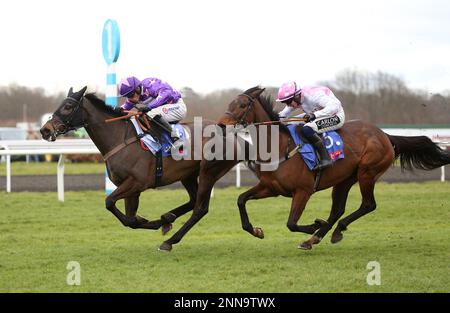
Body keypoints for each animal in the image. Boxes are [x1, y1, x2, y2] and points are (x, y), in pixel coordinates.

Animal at [40, 86, 213, 238]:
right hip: (188, 175)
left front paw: (156, 221)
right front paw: (157, 221)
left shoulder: (137, 183)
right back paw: (168, 217)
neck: (120, 139)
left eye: (68, 107)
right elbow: (130, 220)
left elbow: (109, 202)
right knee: (193, 200)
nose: (45, 130)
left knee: (200, 206)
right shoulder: (129, 187)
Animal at [158, 86, 450, 251]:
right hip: (345, 179)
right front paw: (257, 230)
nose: (220, 125)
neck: (278, 146)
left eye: (241, 105)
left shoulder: (303, 191)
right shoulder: (270, 188)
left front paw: (311, 226)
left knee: (367, 205)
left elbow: (291, 223)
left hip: (367, 173)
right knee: (338, 208)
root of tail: (385, 135)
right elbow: (241, 199)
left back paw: (329, 232)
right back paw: (321, 236)